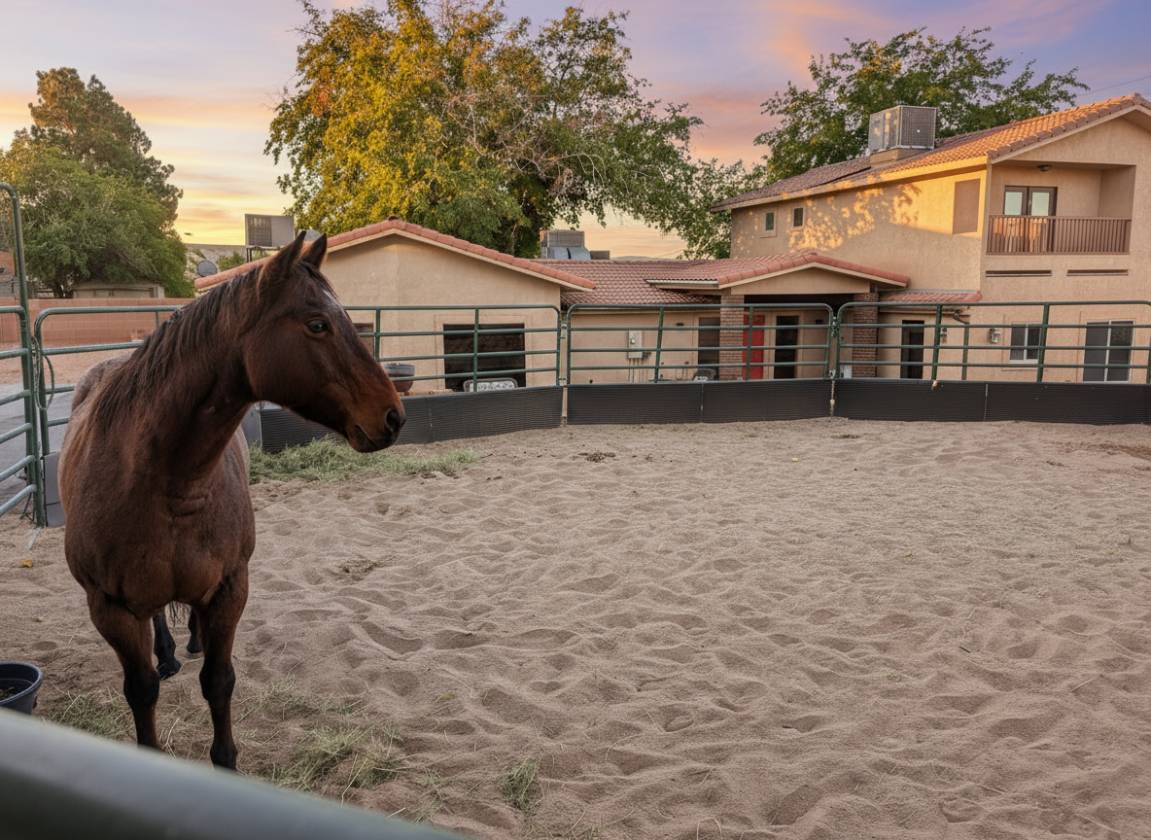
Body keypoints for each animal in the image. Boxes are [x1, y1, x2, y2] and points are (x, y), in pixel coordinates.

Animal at [59, 232, 405, 769]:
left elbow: (219, 683)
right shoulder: (110, 609)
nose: (393, 416)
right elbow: (142, 691)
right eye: (318, 324)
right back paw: (167, 652)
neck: (167, 484)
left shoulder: (229, 590)